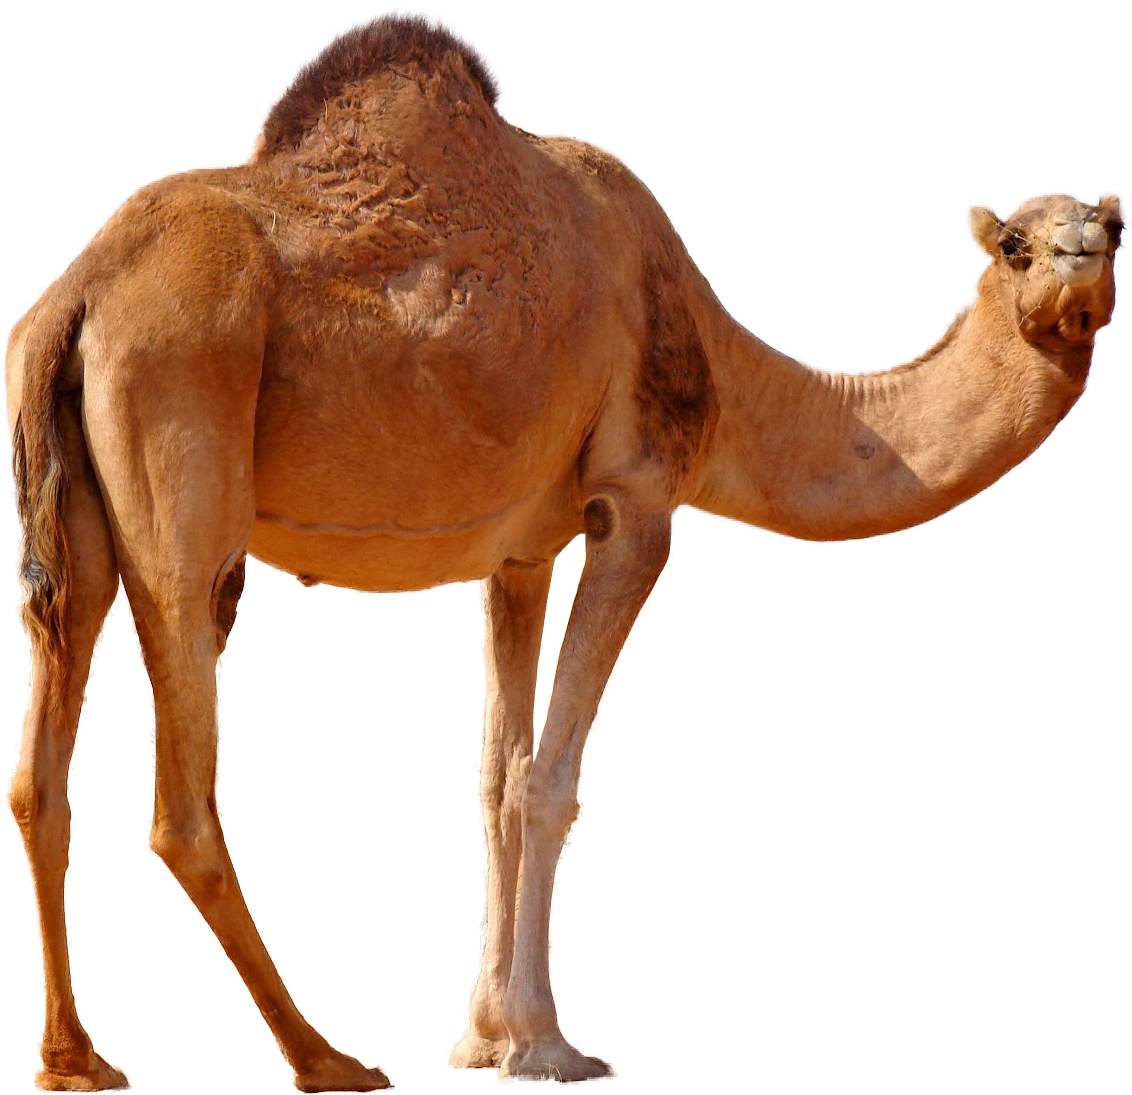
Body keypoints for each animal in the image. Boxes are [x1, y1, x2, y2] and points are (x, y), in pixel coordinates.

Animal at [4, 7, 1124, 1091]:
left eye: (1114, 230)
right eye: (1014, 245)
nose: (1080, 264)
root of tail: (75, 294)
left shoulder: (520, 552)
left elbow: (497, 778)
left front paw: (482, 1035)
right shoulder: (635, 503)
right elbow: (550, 783)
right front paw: (546, 1049)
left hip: (76, 517)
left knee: (40, 759)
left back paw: (78, 1061)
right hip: (184, 439)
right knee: (183, 790)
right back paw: (327, 1059)